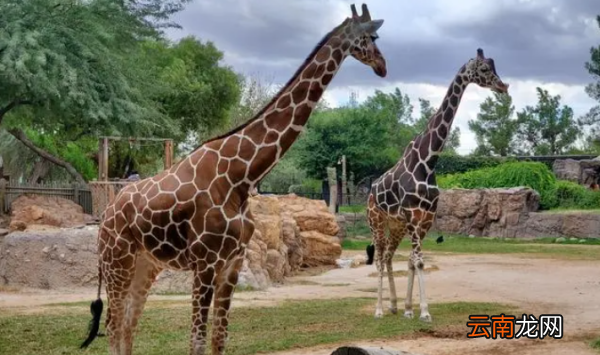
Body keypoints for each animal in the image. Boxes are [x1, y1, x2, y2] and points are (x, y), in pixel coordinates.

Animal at [79, 3, 390, 355]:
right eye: (371, 37)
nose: (382, 66)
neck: (241, 177)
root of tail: (106, 215)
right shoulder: (205, 262)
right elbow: (197, 340)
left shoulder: (232, 262)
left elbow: (219, 338)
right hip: (118, 260)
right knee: (114, 324)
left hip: (147, 264)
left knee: (128, 324)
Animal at [364, 48, 508, 322]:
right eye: (484, 69)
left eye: (495, 66)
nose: (503, 86)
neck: (428, 161)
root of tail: (369, 192)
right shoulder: (413, 215)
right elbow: (419, 261)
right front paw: (424, 312)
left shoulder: (426, 218)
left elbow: (413, 260)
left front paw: (409, 309)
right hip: (376, 221)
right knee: (378, 258)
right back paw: (377, 309)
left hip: (396, 225)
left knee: (388, 256)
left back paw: (393, 305)